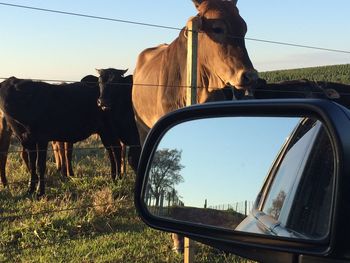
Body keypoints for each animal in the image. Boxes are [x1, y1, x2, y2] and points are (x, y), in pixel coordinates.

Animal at [0, 71, 139, 197]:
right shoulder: (27, 141)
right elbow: (32, 165)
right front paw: (30, 189)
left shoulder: (42, 138)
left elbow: (40, 165)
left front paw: (40, 192)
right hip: (104, 131)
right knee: (112, 150)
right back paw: (114, 177)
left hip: (111, 130)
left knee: (116, 150)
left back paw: (118, 178)